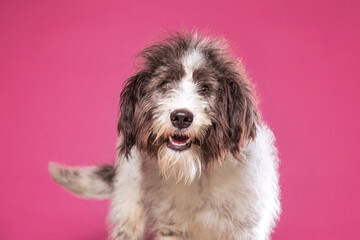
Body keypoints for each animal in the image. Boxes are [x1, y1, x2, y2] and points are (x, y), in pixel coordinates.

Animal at [49, 31, 282, 240]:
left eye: (205, 89)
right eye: (166, 84)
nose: (181, 117)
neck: (197, 173)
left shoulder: (245, 228)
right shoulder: (172, 229)